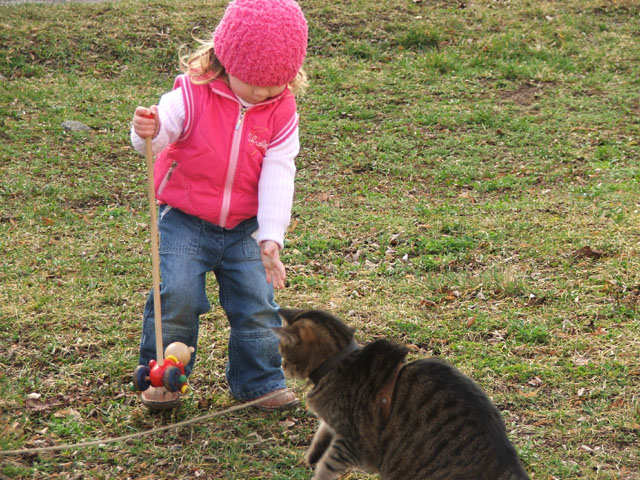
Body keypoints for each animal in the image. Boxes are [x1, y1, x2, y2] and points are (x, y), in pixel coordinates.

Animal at [276, 310, 528, 478]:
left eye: (282, 350)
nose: (281, 365)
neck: (340, 362)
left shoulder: (351, 444)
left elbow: (327, 465)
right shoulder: (334, 426)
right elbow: (321, 435)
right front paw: (310, 456)